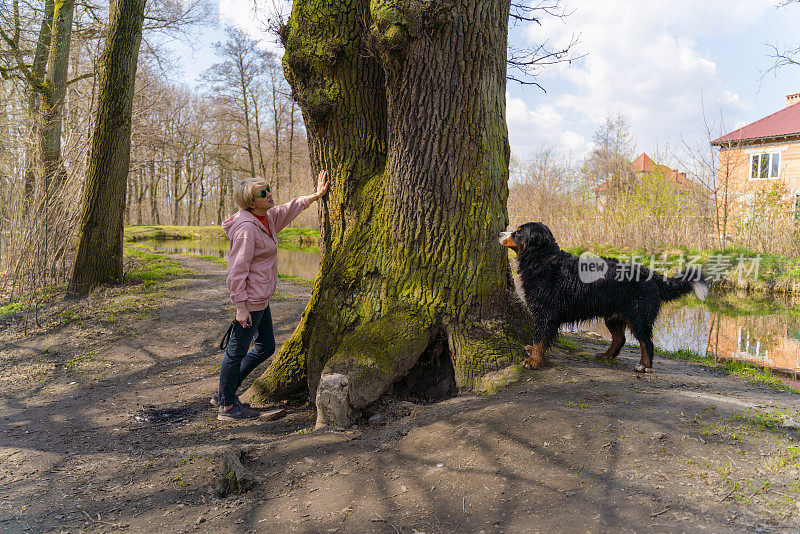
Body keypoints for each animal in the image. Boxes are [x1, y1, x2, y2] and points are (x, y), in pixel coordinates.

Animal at [500, 222, 708, 372]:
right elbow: (538, 340)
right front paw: (532, 352)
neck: (543, 259)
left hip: (639, 315)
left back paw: (644, 365)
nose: (501, 233)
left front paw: (533, 360)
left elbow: (540, 338)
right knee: (620, 339)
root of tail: (651, 274)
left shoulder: (545, 313)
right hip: (614, 315)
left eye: (518, 232)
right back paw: (607, 355)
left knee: (647, 342)